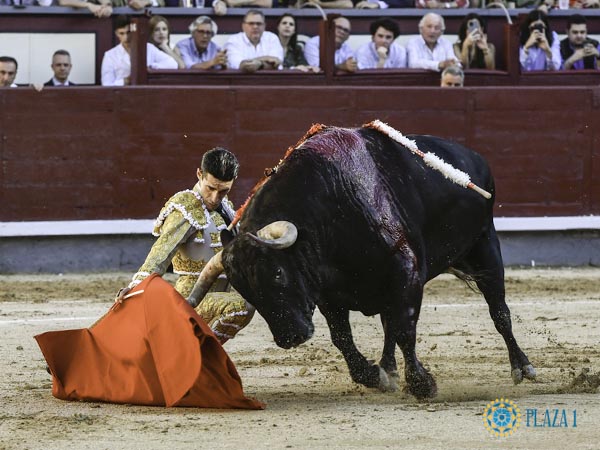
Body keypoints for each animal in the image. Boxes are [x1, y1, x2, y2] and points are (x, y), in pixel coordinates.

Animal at [188, 122, 536, 399]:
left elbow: (405, 330)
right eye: (245, 290)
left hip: (485, 247)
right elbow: (345, 338)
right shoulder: (327, 294)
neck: (327, 211)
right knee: (388, 325)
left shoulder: (407, 275)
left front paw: (422, 384)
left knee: (499, 312)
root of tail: (474, 157)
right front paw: (375, 376)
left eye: (277, 274)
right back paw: (388, 368)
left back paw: (523, 367)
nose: (290, 338)